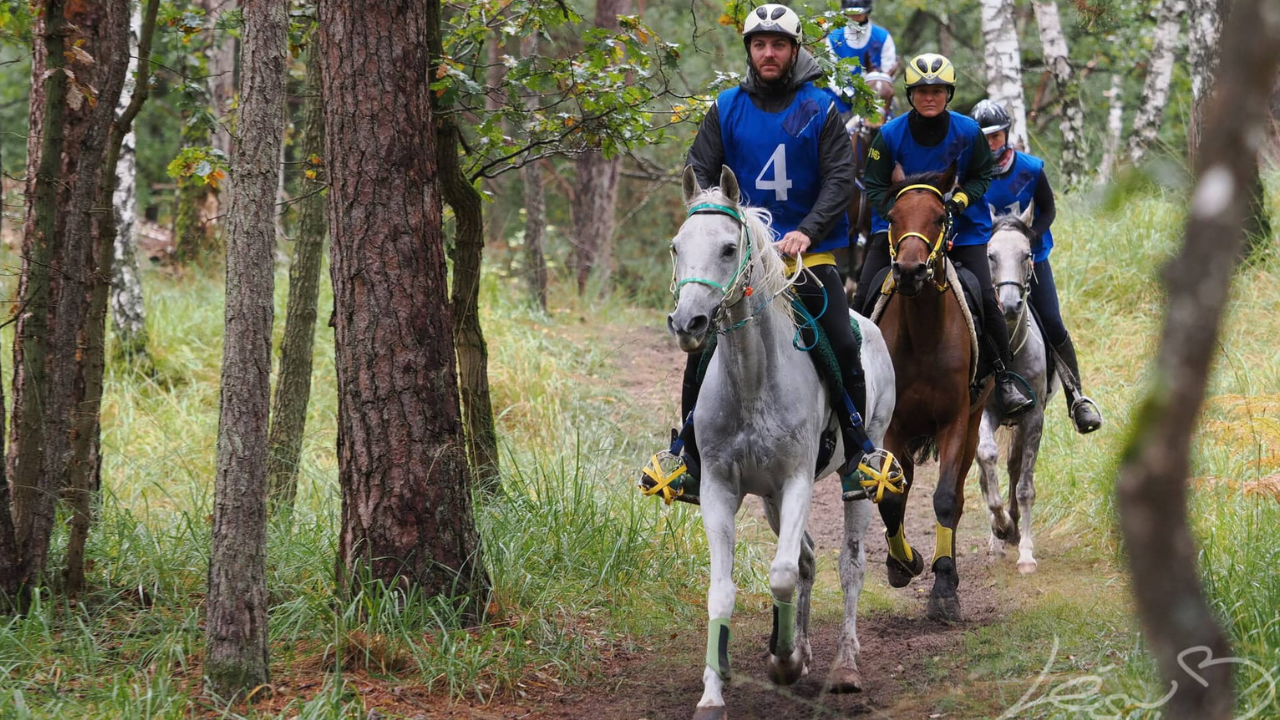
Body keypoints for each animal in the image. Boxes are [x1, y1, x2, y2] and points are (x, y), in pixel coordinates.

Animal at [665, 163, 896, 717]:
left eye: (729, 248)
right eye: (677, 247)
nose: (688, 323)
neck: (752, 382)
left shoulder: (796, 482)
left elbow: (783, 573)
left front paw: (784, 664)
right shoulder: (720, 489)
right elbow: (724, 590)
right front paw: (715, 689)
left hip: (858, 472)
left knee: (849, 564)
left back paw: (843, 667)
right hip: (768, 497)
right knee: (809, 557)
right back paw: (801, 647)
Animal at [870, 167, 988, 622]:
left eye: (940, 217)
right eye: (892, 216)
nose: (908, 271)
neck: (922, 334)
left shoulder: (954, 421)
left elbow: (945, 499)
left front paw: (943, 589)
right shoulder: (893, 426)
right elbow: (891, 497)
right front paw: (904, 563)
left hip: (973, 424)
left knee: (956, 497)